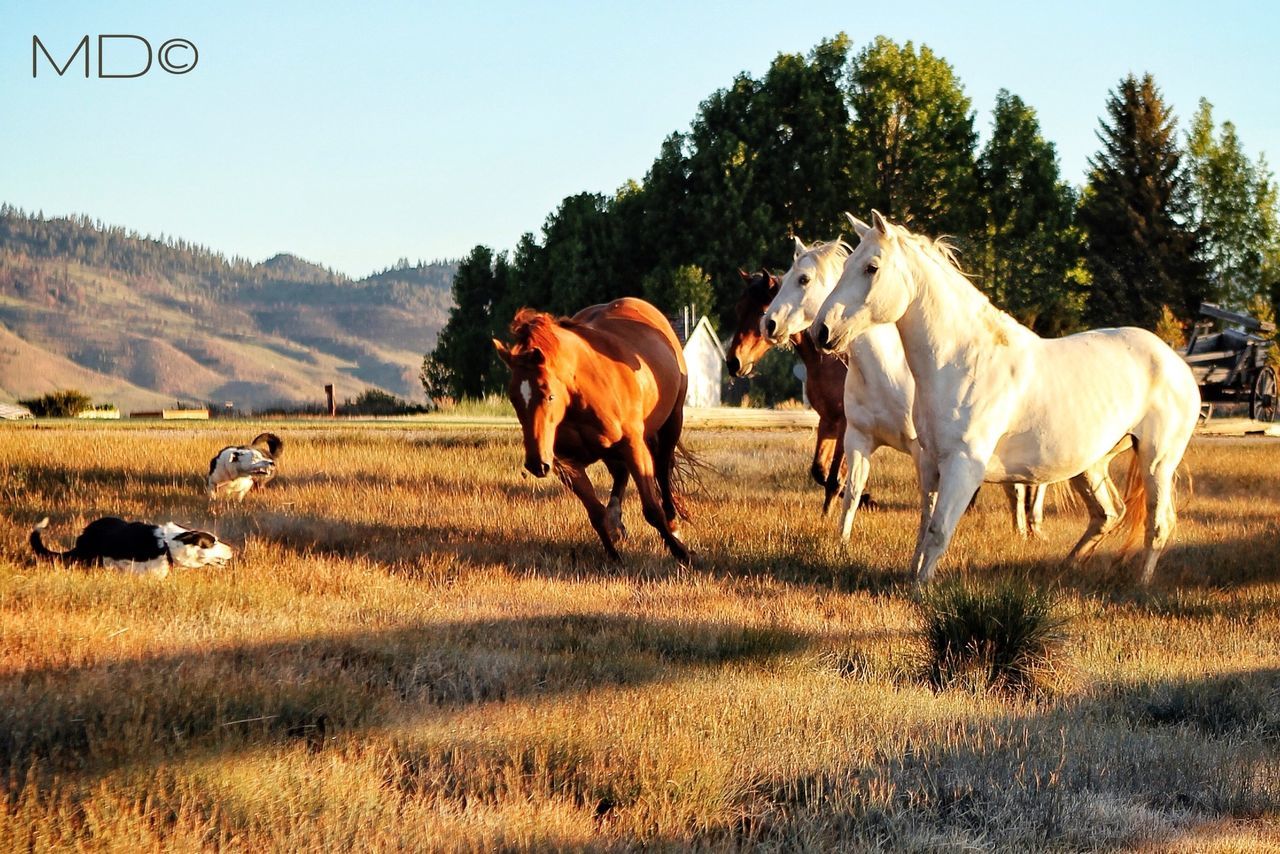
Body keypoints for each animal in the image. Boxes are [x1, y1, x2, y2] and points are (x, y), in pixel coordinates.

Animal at [491, 297, 691, 563]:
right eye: (513, 398)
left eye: (549, 395)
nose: (536, 463)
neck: (580, 396)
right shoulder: (567, 464)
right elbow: (596, 513)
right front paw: (614, 557)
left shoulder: (633, 446)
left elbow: (651, 508)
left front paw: (681, 553)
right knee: (620, 475)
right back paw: (616, 522)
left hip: (671, 423)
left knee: (662, 474)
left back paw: (673, 527)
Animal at [727, 270, 855, 514]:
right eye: (738, 308)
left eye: (763, 312)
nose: (733, 362)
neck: (833, 360)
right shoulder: (828, 420)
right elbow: (820, 472)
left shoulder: (846, 423)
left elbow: (834, 479)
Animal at [757, 224, 1039, 545]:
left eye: (803, 279)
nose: (768, 324)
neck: (884, 374)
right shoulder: (858, 438)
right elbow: (850, 493)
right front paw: (842, 543)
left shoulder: (922, 452)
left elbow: (929, 504)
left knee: (1016, 489)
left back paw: (1025, 531)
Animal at [808, 212, 1198, 583]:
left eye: (871, 267)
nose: (821, 331)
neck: (963, 362)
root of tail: (1176, 363)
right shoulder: (931, 461)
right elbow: (924, 526)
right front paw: (910, 578)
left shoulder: (964, 466)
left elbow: (938, 531)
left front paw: (919, 590)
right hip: (1093, 464)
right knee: (1108, 513)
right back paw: (1065, 568)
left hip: (1156, 461)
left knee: (1157, 524)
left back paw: (1140, 584)